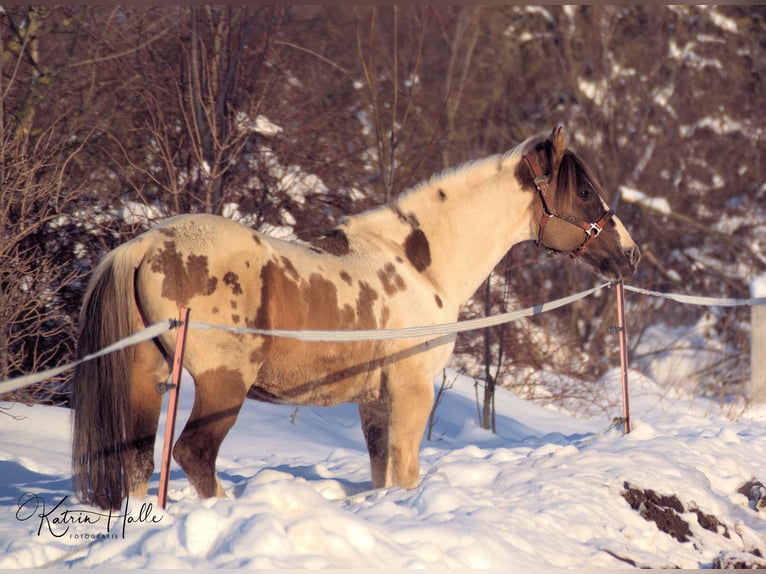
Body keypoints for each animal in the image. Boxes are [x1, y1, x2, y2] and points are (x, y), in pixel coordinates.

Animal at [72, 126, 640, 510]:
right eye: (584, 191)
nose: (630, 254)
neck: (419, 265)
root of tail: (143, 246)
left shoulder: (375, 402)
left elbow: (381, 472)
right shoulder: (412, 390)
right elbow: (406, 470)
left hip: (147, 376)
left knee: (138, 458)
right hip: (221, 386)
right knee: (193, 454)